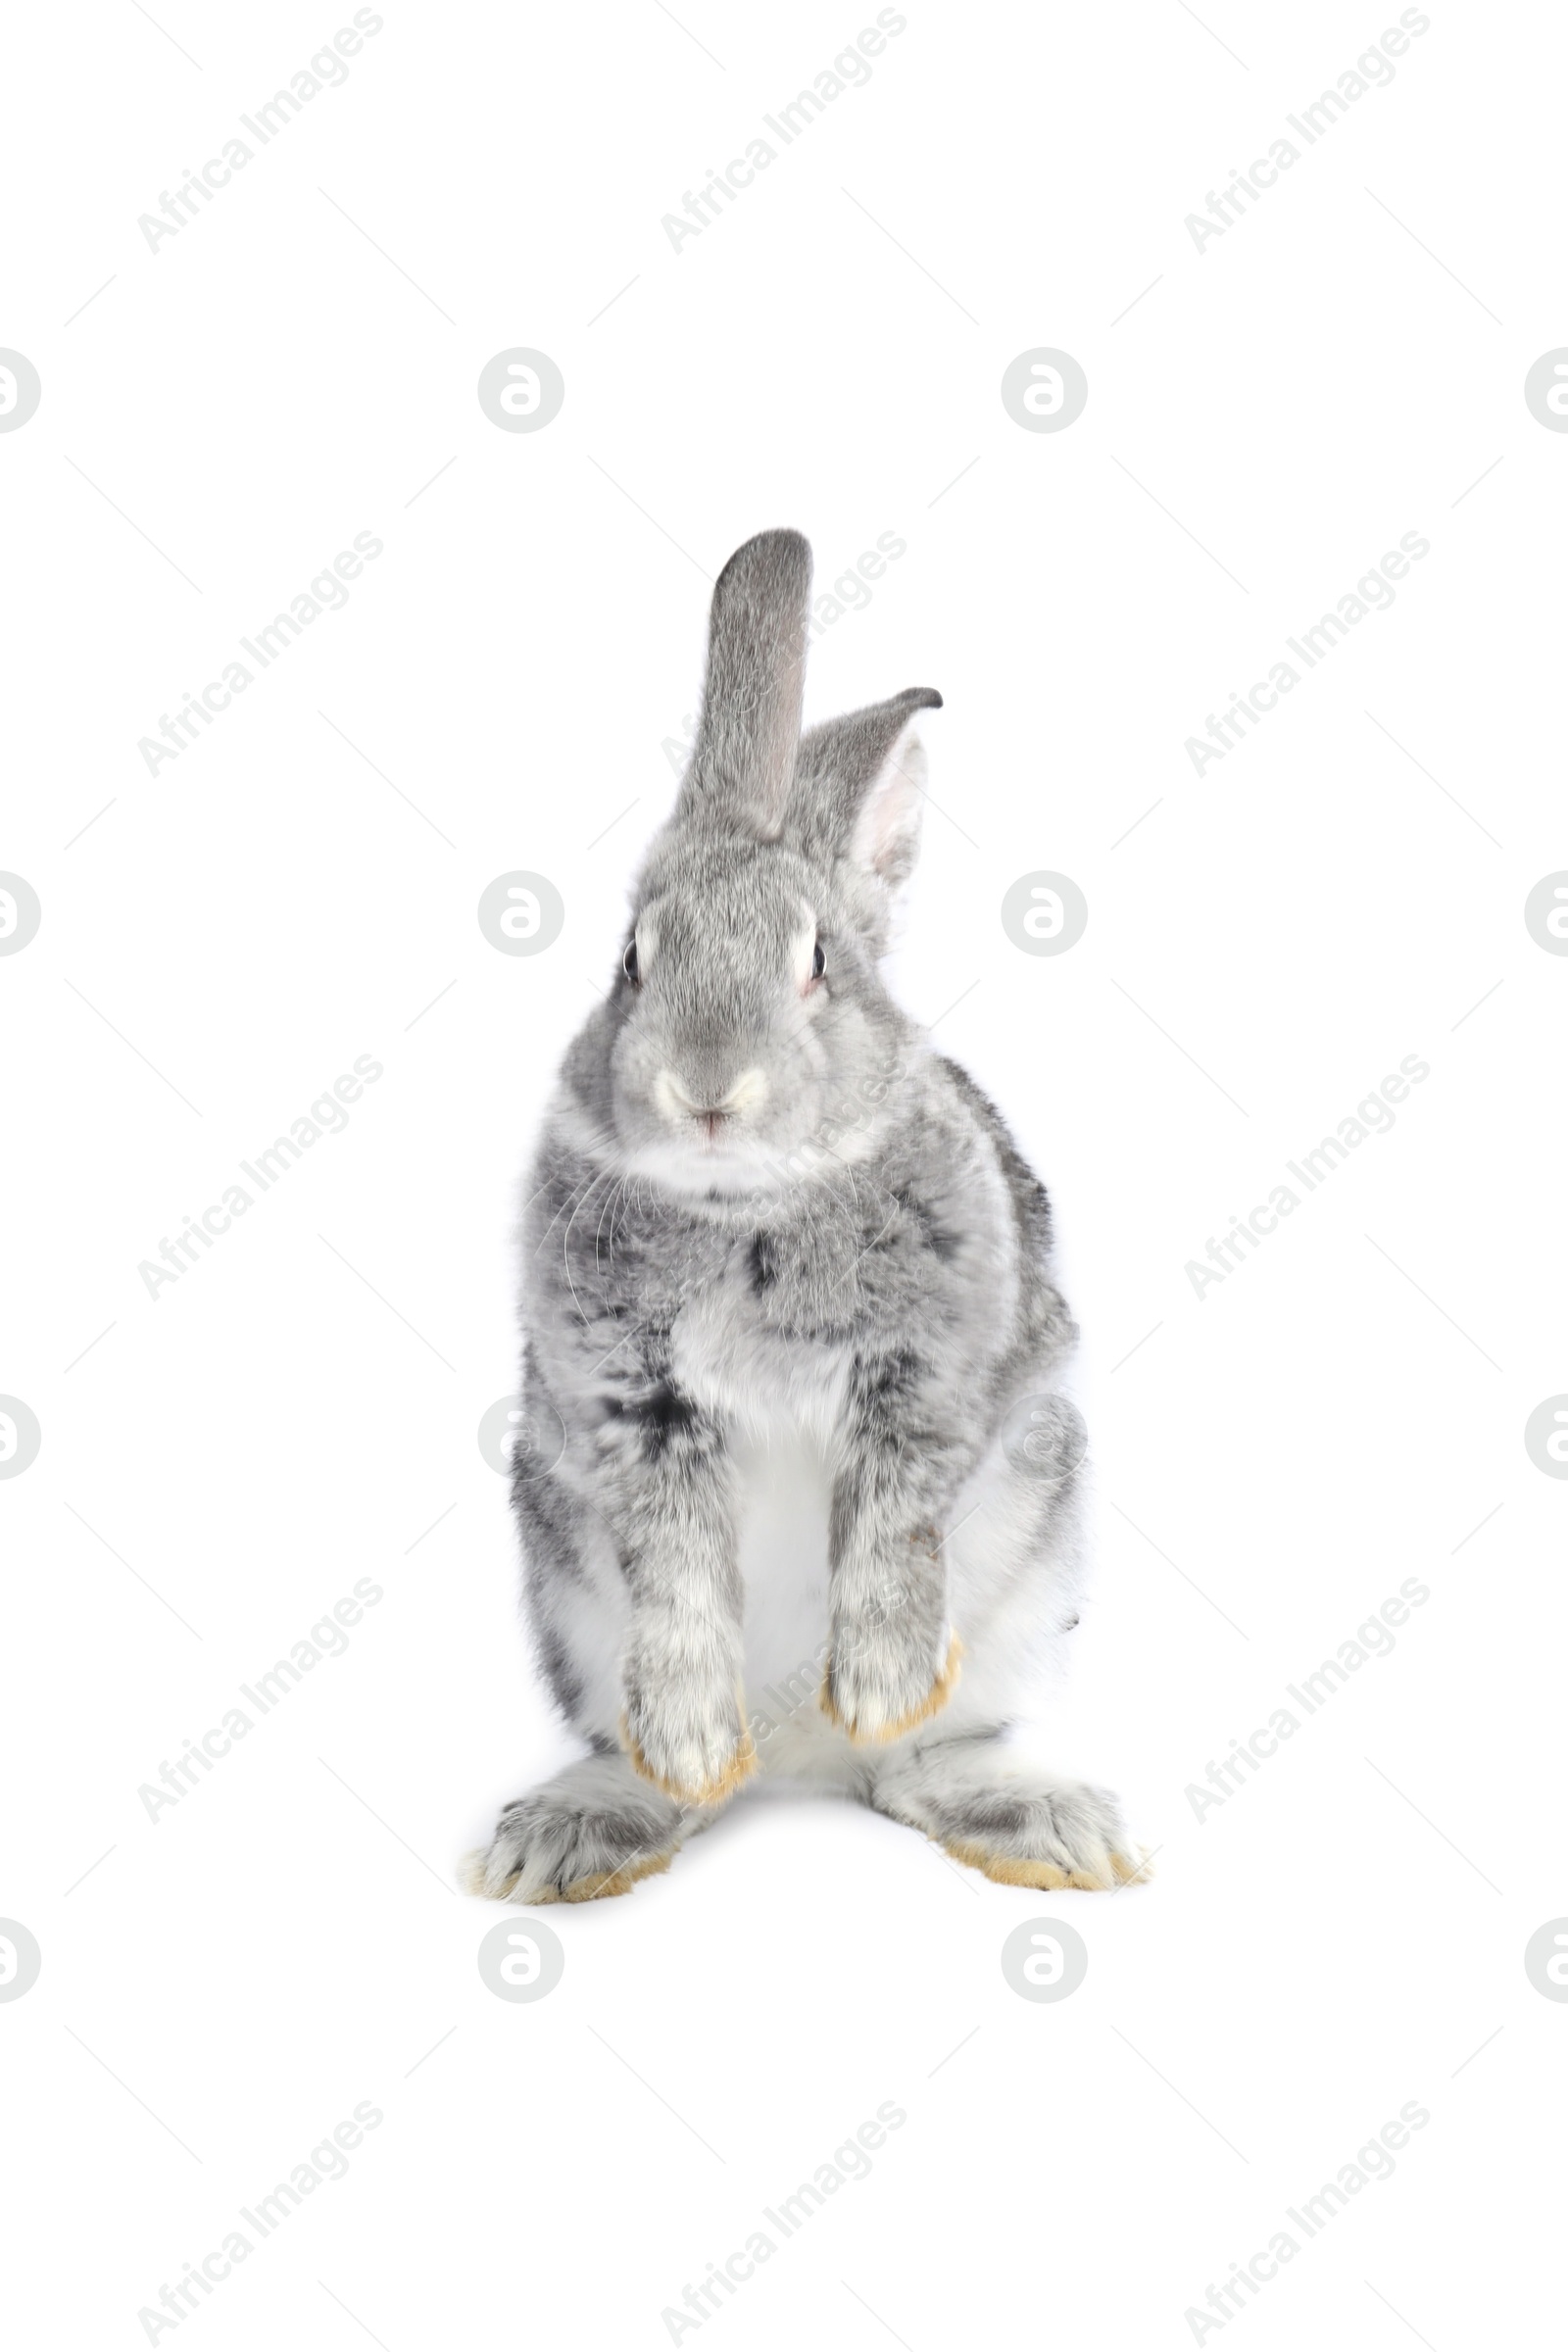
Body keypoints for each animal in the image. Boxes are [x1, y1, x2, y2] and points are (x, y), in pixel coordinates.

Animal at [461, 524, 1147, 1900]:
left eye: (816, 960)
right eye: (631, 961)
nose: (707, 1088)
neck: (747, 1211)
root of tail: (799, 1769)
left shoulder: (927, 1386)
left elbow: (888, 1540)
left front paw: (874, 1686)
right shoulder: (633, 1412)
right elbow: (679, 1583)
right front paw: (688, 1742)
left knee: (916, 1761)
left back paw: (1029, 1819)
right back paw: (601, 1820)